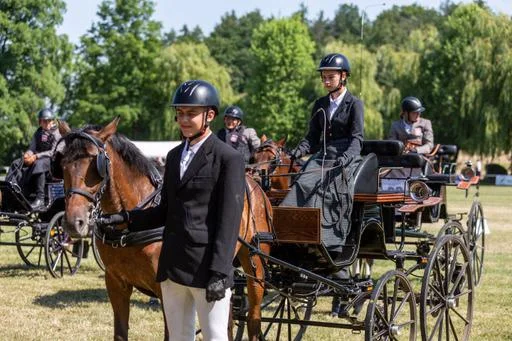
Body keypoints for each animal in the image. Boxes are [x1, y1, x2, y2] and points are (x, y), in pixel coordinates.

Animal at [55, 117, 272, 340]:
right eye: (62, 164)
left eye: (95, 165)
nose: (73, 222)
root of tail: (253, 181)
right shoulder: (116, 283)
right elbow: (120, 333)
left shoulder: (166, 288)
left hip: (255, 266)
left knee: (254, 317)